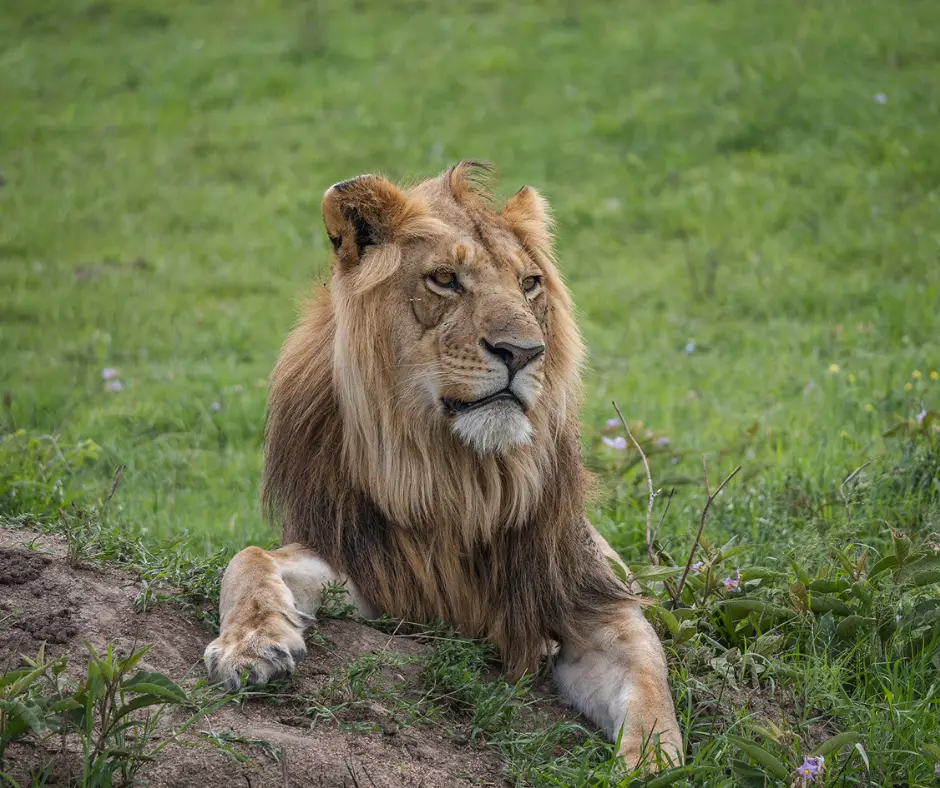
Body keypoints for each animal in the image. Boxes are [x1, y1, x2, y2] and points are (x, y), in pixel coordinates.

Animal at [202, 162, 680, 768]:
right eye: (446, 279)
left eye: (530, 284)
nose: (525, 352)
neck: (460, 479)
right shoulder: (375, 573)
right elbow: (249, 558)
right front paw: (250, 645)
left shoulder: (590, 597)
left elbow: (650, 685)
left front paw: (653, 765)